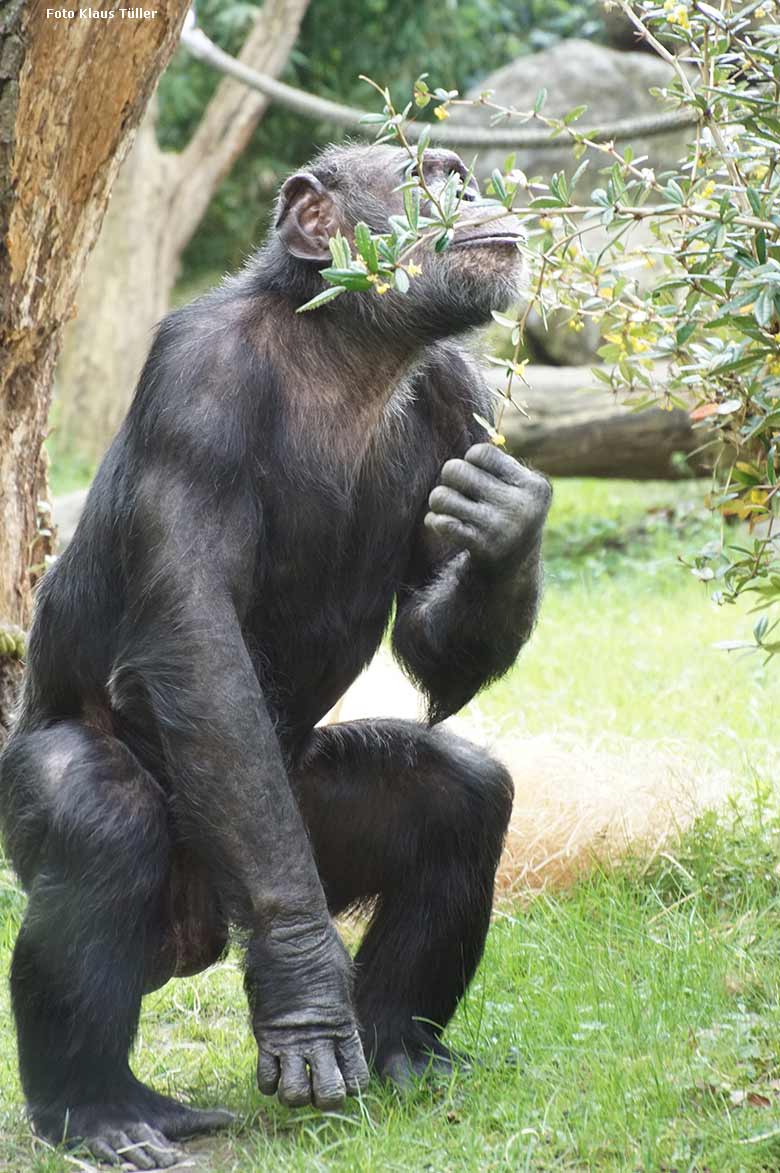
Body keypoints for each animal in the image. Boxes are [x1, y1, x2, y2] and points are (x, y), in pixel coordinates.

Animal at [0, 141, 551, 1168]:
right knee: (99, 819)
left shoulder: (460, 393)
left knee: (457, 798)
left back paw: (399, 1047)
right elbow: (196, 639)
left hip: (293, 815)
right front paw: (303, 992)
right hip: (172, 835)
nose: (476, 190)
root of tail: (201, 933)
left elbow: (432, 651)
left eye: (456, 171)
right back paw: (102, 1107)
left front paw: (507, 522)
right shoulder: (195, 381)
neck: (343, 348)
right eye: (425, 175)